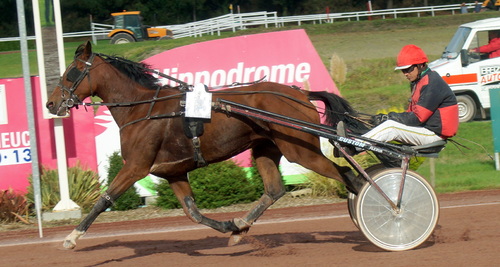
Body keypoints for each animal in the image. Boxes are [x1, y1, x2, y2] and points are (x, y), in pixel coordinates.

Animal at [46, 40, 360, 250]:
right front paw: (230, 225)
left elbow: (104, 199)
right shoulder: (172, 172)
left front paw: (71, 237)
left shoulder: (136, 166)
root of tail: (301, 94)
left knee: (347, 175)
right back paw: (241, 228)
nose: (51, 103)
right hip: (265, 149)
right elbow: (192, 212)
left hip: (301, 151)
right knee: (274, 189)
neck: (144, 109)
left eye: (71, 72)